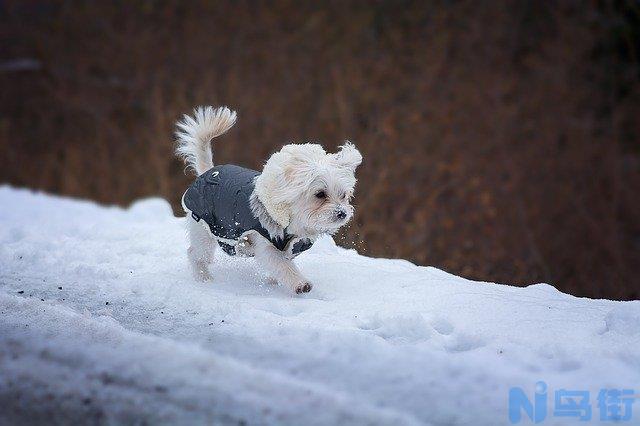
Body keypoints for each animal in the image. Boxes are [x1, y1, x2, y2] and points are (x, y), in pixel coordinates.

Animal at [175, 105, 362, 292]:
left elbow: (281, 267)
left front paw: (273, 282)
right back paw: (203, 278)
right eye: (320, 194)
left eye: (344, 195)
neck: (293, 222)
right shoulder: (266, 244)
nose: (342, 213)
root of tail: (208, 172)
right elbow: (282, 265)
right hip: (204, 229)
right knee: (195, 254)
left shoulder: (290, 248)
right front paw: (300, 283)